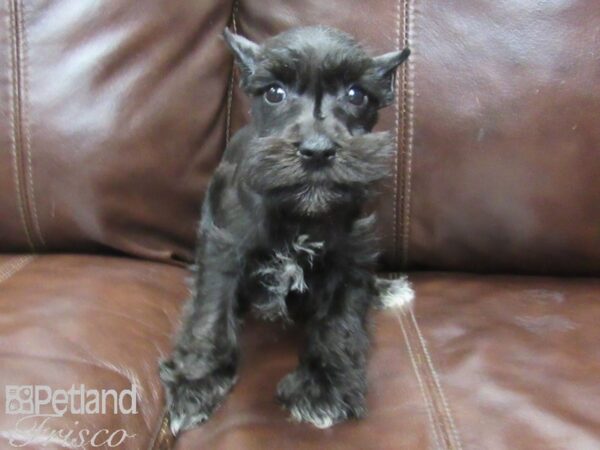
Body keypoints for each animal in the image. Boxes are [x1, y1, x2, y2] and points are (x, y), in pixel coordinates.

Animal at [161, 24, 412, 432]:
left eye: (357, 94)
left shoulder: (349, 256)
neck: (299, 214)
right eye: (274, 92)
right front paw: (196, 383)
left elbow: (340, 322)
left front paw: (324, 387)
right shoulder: (224, 249)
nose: (317, 150)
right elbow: (210, 316)